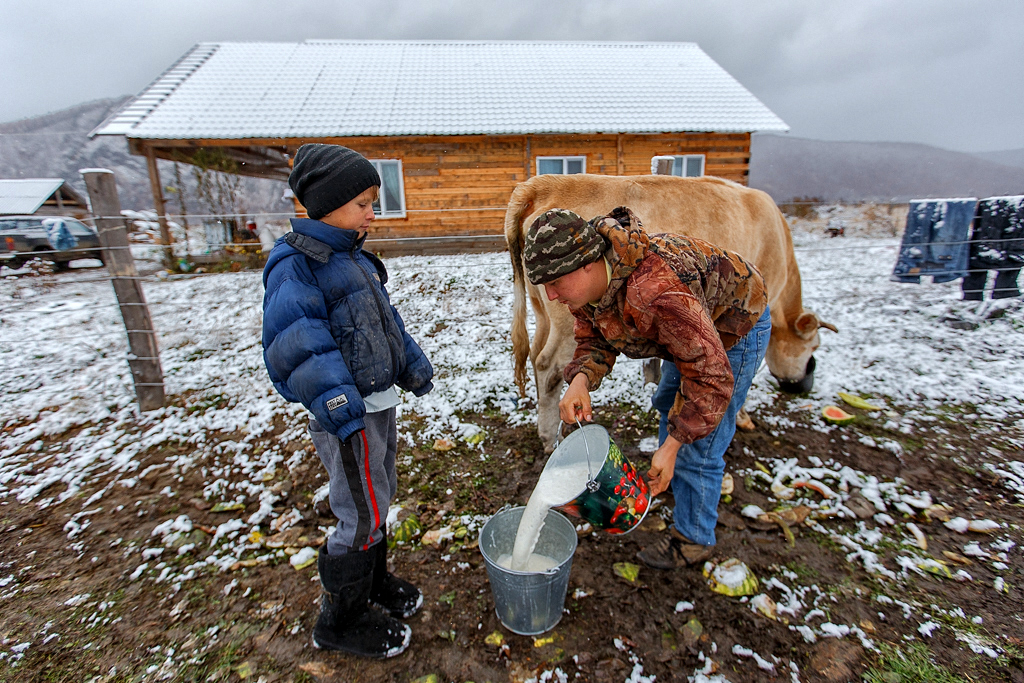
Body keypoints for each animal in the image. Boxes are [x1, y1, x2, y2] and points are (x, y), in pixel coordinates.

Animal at [507, 174, 835, 450]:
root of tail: (543, 183)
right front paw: (742, 416)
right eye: (813, 346)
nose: (805, 384)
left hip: (543, 308)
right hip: (563, 319)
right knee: (548, 365)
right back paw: (549, 438)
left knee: (535, 354)